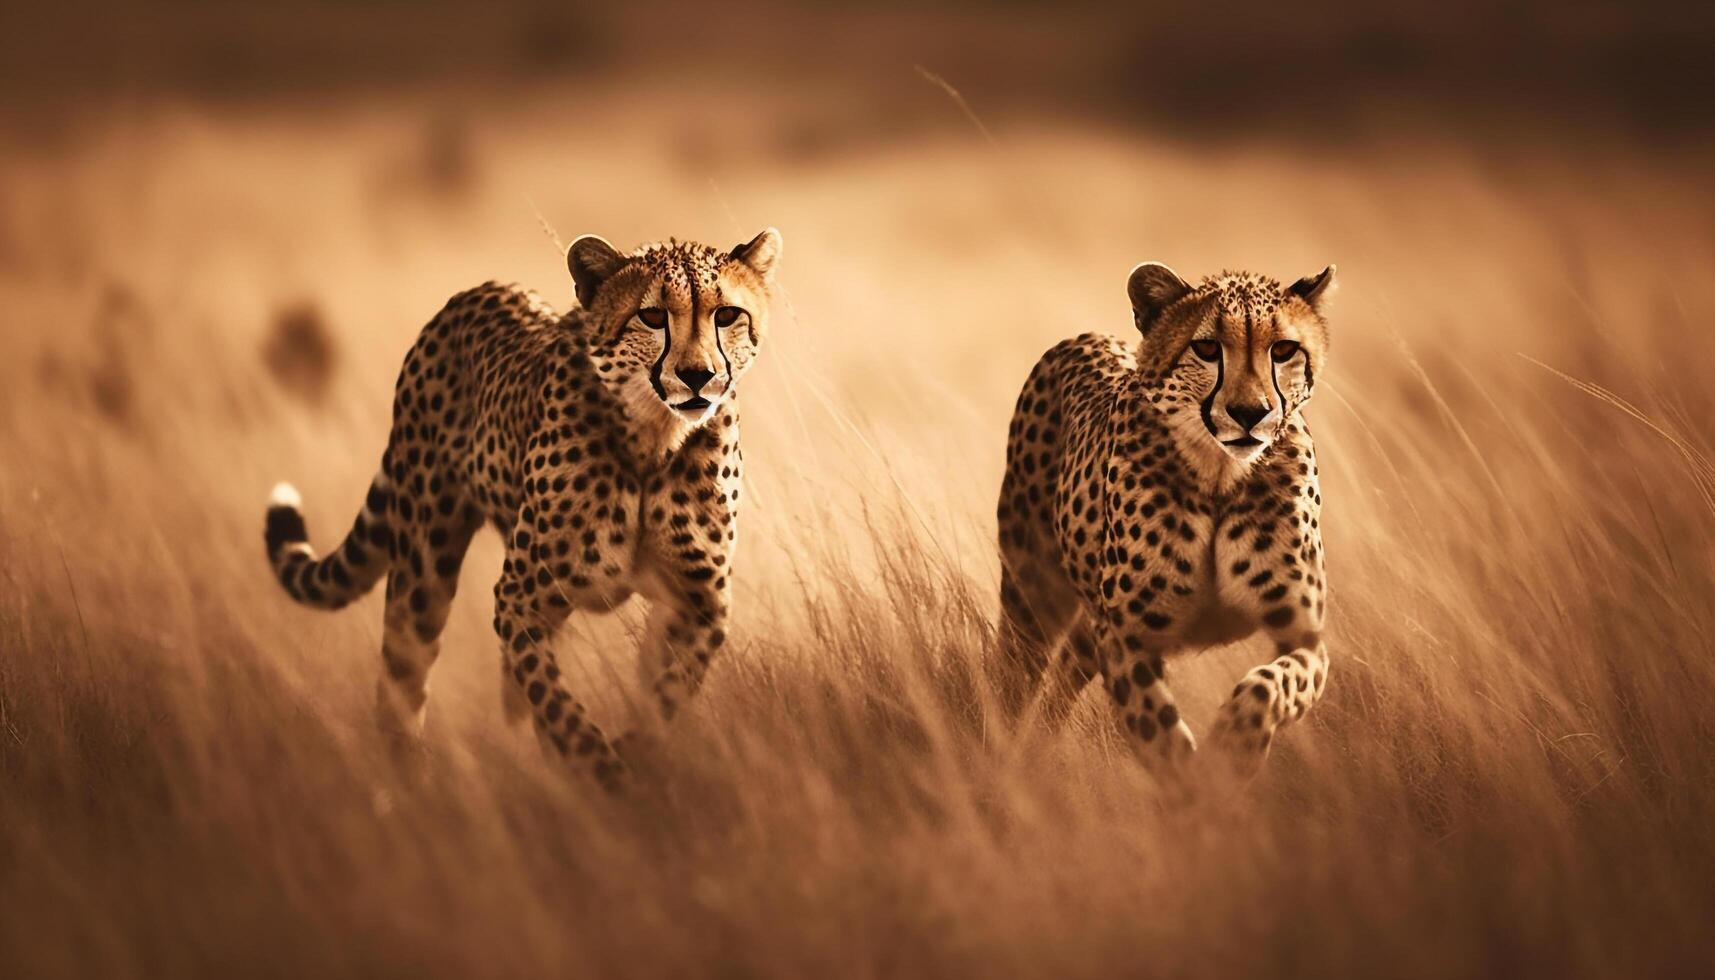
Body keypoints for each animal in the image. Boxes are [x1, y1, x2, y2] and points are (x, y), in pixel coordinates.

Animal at [262, 229, 785, 789]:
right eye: (651, 316)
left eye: (726, 315)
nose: (697, 376)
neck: (653, 439)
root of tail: (475, 292)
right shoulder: (521, 599)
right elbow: (557, 705)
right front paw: (600, 769)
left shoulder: (698, 603)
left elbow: (665, 696)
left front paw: (638, 757)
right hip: (423, 573)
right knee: (401, 684)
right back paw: (408, 778)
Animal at [994, 259, 1337, 775]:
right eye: (1206, 348)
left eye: (1283, 350)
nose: (1249, 413)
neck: (1220, 476)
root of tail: (1086, 335)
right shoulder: (1125, 638)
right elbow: (1157, 728)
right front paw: (1193, 783)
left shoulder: (1305, 636)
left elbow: (1266, 688)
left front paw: (1232, 750)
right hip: (1032, 595)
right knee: (1009, 680)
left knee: (1064, 676)